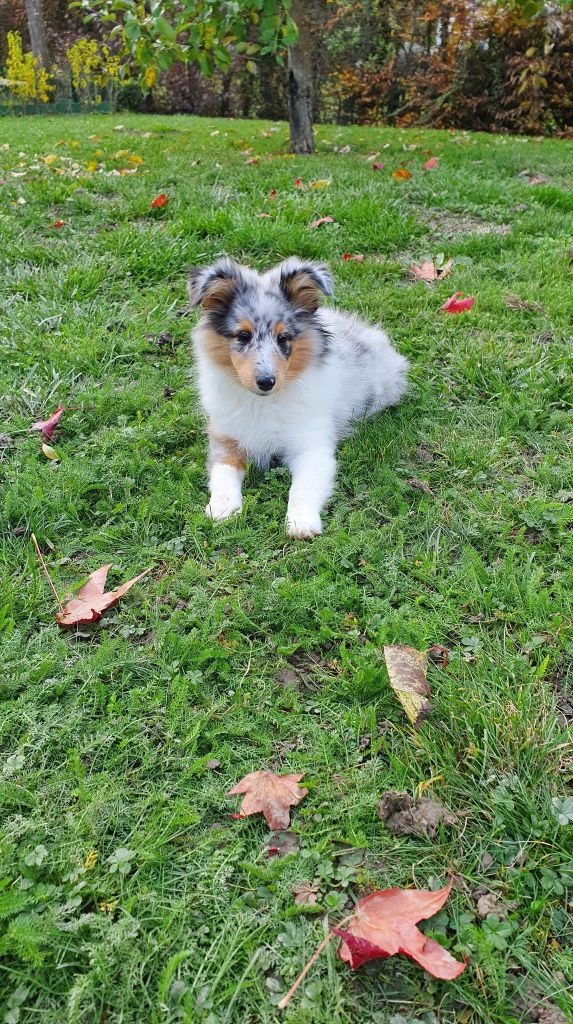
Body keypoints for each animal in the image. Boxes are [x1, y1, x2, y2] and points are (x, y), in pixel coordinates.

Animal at [190, 256, 409, 540]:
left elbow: (302, 487)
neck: (263, 402)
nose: (266, 381)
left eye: (284, 338)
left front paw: (301, 522)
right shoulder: (226, 439)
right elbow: (223, 473)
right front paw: (222, 509)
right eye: (243, 336)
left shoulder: (311, 447)